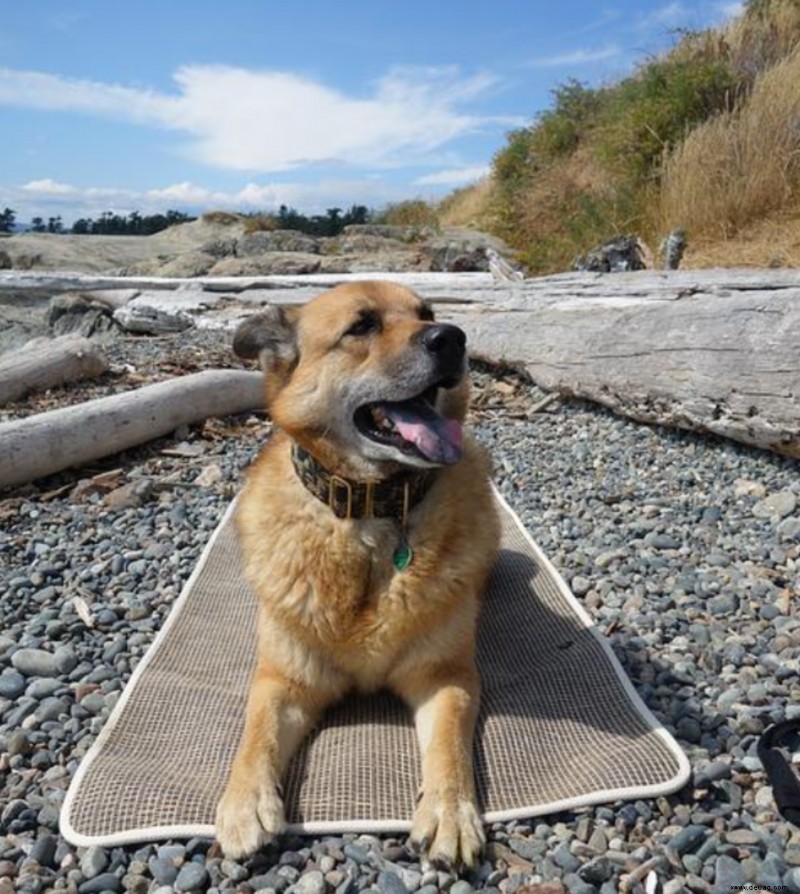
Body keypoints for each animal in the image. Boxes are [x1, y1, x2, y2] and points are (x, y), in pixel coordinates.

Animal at [216, 280, 496, 868]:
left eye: (427, 313)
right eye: (361, 327)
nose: (453, 337)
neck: (371, 510)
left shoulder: (446, 676)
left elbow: (450, 744)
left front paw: (450, 811)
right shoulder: (284, 679)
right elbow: (257, 732)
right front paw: (244, 802)